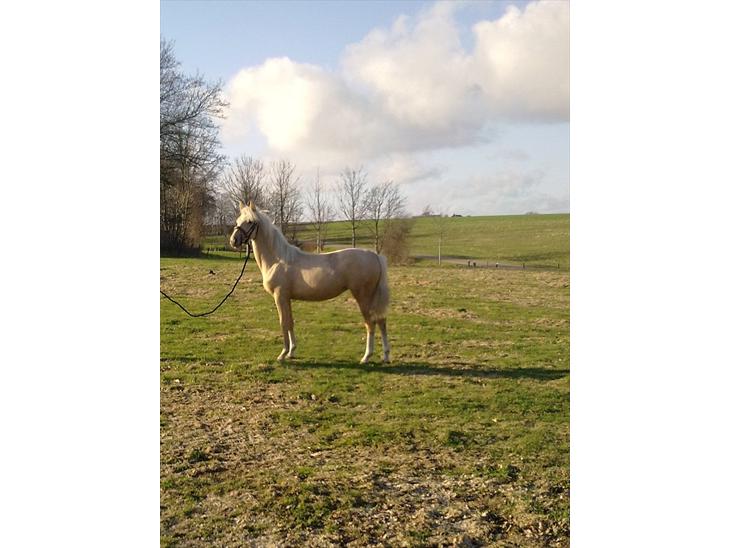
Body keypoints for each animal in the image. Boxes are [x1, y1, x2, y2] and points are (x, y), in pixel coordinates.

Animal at [230, 201, 391, 364]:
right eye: (238, 220)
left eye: (250, 222)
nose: (233, 241)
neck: (277, 260)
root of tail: (375, 256)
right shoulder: (286, 298)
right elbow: (290, 322)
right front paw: (291, 352)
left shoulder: (279, 296)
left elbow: (283, 322)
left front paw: (282, 354)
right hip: (373, 298)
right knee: (381, 320)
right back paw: (385, 356)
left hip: (363, 297)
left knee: (370, 323)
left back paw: (366, 357)